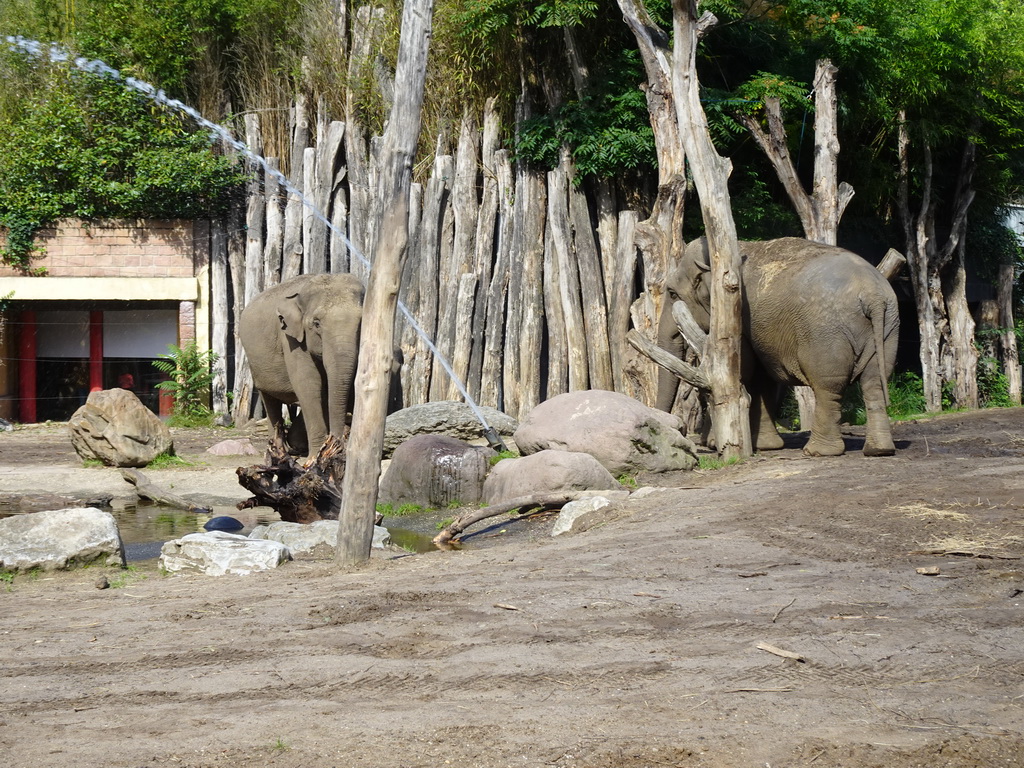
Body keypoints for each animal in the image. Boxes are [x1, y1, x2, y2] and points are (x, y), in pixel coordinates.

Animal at [237, 274, 401, 460]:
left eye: (362, 323)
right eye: (316, 323)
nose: (337, 446)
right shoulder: (291, 339)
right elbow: (309, 385)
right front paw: (315, 457)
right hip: (256, 365)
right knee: (270, 401)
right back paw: (276, 453)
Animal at [659, 237, 901, 460]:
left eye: (672, 293)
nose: (678, 430)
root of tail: (873, 296)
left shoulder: (739, 321)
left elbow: (746, 372)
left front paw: (717, 444)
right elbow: (761, 378)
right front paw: (766, 446)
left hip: (827, 334)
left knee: (828, 386)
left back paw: (817, 451)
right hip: (888, 329)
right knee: (874, 382)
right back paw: (879, 450)